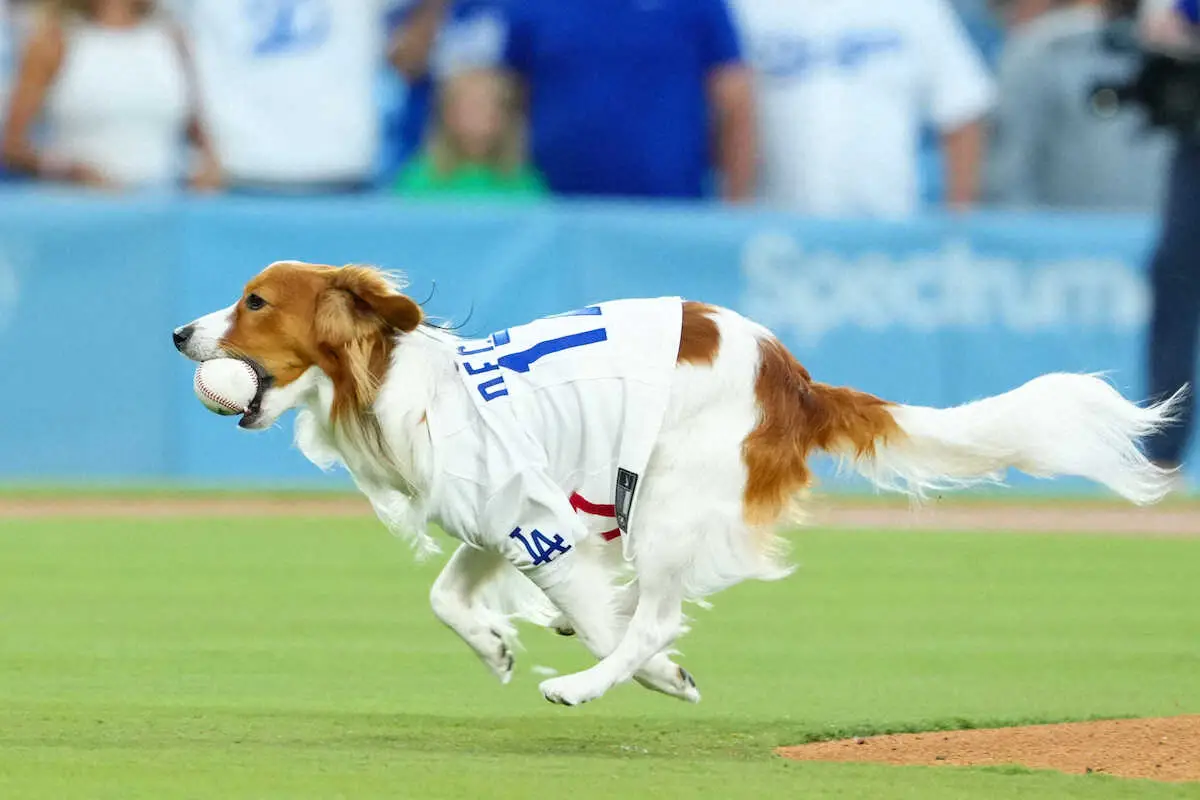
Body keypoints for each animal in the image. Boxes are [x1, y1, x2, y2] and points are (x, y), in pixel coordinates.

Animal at [174, 262, 1176, 705]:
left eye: (255, 303)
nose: (180, 332)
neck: (393, 386)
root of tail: (794, 379)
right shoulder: (498, 522)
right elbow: (447, 597)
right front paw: (497, 643)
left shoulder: (540, 524)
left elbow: (609, 616)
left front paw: (639, 667)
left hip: (663, 502)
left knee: (654, 611)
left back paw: (591, 686)